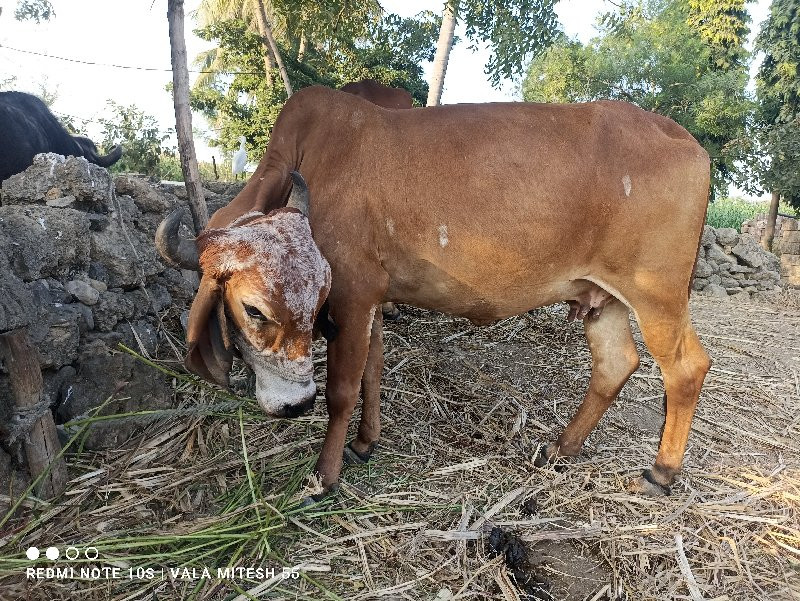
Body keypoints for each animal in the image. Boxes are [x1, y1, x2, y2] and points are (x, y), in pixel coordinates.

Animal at [158, 86, 712, 502]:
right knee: (617, 363)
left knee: (686, 367)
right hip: (604, 297)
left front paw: (325, 475)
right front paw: (365, 442)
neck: (309, 156)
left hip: (657, 294)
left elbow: (342, 389)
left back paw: (661, 472)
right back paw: (562, 447)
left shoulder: (353, 293)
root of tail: (689, 143)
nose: (296, 405)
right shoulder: (370, 300)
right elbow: (372, 371)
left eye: (312, 307)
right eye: (252, 309)